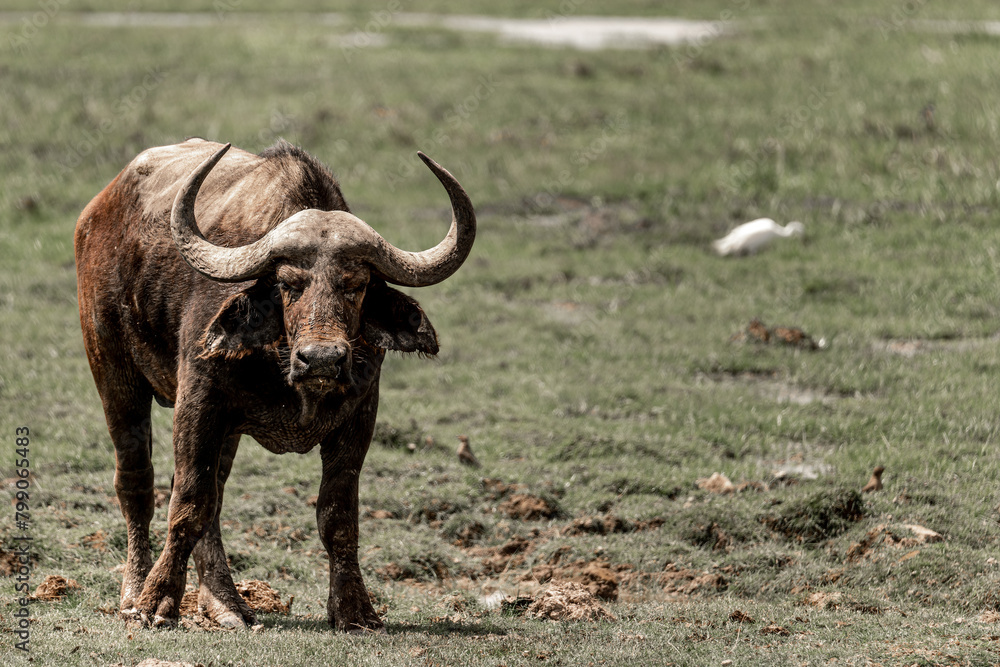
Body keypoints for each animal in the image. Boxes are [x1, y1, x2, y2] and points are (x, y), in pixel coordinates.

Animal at [74, 138, 476, 631]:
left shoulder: (359, 416)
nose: (322, 359)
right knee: (138, 483)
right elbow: (187, 503)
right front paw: (157, 601)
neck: (283, 367)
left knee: (215, 498)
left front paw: (354, 609)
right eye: (288, 283)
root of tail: (99, 211)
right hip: (113, 371)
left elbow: (337, 515)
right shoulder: (198, 403)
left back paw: (226, 604)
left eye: (356, 284)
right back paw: (134, 592)